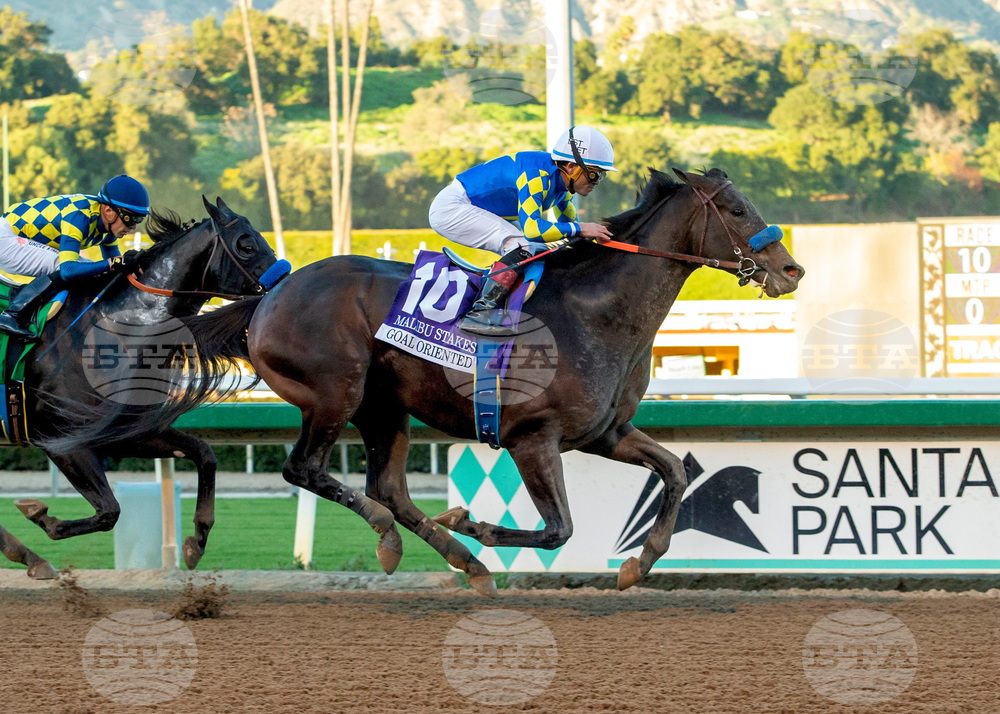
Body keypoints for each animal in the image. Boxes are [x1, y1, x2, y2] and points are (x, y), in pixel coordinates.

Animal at [0, 197, 283, 579]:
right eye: (246, 244)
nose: (286, 280)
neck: (116, 327)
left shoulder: (124, 430)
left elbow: (204, 454)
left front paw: (196, 541)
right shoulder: (61, 440)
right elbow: (109, 511)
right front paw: (42, 515)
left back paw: (30, 557)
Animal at [57, 168, 804, 595]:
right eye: (737, 209)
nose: (791, 270)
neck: (597, 309)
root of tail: (267, 297)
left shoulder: (605, 432)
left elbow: (674, 472)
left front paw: (639, 562)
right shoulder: (533, 438)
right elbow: (557, 529)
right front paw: (472, 518)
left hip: (386, 409)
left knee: (386, 487)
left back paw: (458, 560)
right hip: (337, 392)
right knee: (309, 470)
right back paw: (400, 541)